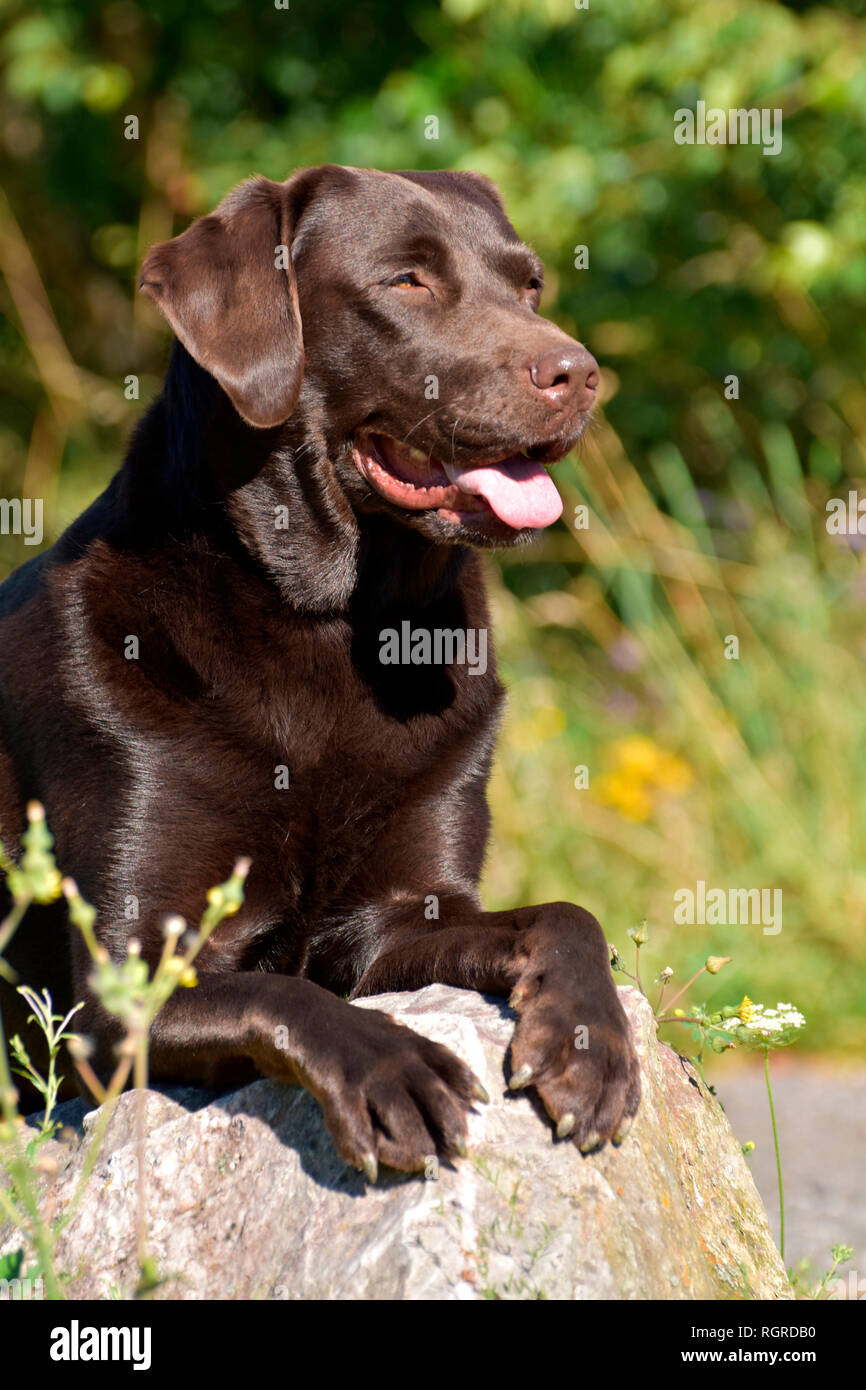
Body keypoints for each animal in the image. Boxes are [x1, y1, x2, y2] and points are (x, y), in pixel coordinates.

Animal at [0, 168, 636, 1178]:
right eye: (407, 281)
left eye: (530, 285)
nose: (578, 374)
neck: (334, 624)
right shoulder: (117, 998)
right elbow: (285, 994)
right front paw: (393, 1069)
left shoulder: (399, 918)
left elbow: (566, 912)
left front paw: (589, 1042)